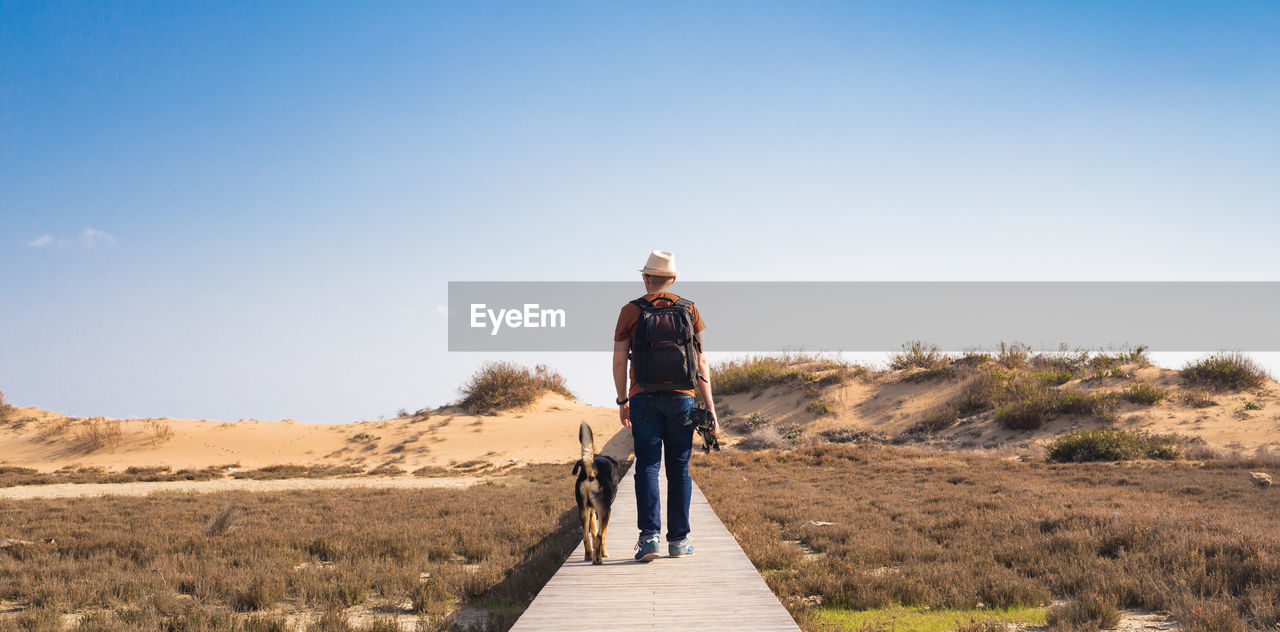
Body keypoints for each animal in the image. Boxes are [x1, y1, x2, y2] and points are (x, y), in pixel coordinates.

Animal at [578, 422, 622, 565]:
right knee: (599, 536)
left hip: (583, 510)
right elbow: (601, 536)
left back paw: (589, 555)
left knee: (586, 536)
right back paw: (598, 559)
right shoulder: (603, 512)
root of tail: (591, 474)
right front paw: (604, 553)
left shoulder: (592, 512)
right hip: (606, 511)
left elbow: (593, 531)